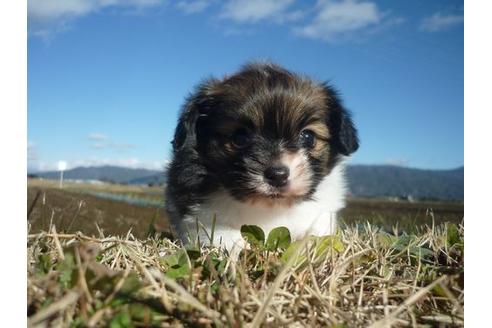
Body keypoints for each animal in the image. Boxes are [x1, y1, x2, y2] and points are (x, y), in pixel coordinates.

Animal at [165, 62, 358, 251]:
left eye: (308, 137)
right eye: (239, 138)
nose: (278, 175)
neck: (270, 208)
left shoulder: (324, 213)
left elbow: (318, 230)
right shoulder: (198, 217)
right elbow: (222, 234)